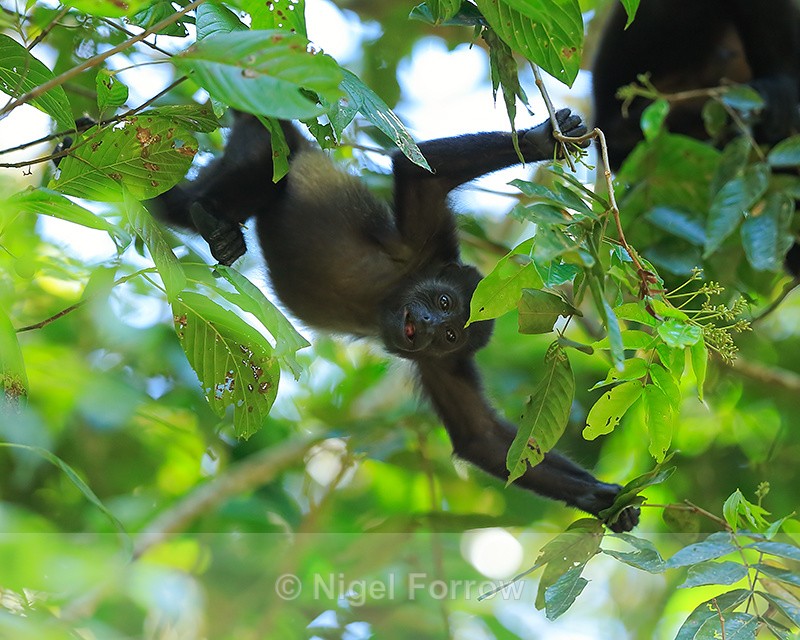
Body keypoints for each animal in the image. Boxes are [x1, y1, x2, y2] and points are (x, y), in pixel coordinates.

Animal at [143, 109, 640, 532]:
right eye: (443, 301)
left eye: (450, 334)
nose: (426, 323)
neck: (394, 294)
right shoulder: (425, 245)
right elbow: (421, 172)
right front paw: (542, 140)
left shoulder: (442, 363)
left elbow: (482, 438)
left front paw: (604, 499)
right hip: (271, 135)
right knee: (259, 167)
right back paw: (211, 220)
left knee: (173, 205)